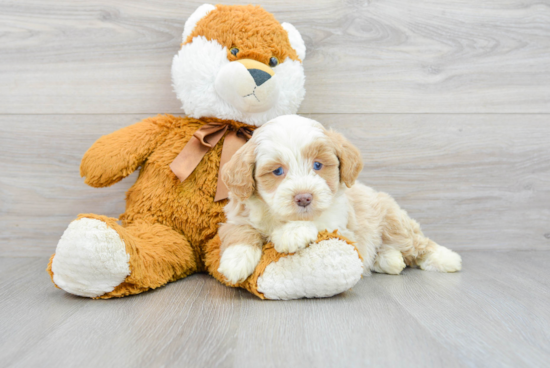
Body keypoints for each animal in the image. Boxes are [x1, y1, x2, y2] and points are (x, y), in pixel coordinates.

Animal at [218, 114, 464, 282]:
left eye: (318, 165)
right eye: (278, 171)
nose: (304, 198)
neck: (280, 217)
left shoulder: (341, 224)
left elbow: (318, 222)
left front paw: (292, 233)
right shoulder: (237, 216)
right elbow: (239, 231)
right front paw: (235, 261)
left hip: (394, 222)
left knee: (416, 242)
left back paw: (446, 258)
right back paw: (388, 260)